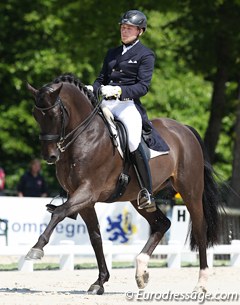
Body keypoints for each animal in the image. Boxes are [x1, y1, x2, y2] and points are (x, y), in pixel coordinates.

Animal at [26, 72, 221, 294]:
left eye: (56, 114)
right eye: (35, 114)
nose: (50, 156)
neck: (85, 136)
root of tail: (185, 130)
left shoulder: (88, 191)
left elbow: (58, 213)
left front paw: (36, 248)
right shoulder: (83, 199)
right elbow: (95, 237)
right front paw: (100, 282)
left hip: (190, 192)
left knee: (199, 229)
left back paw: (201, 283)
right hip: (138, 199)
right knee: (162, 224)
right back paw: (141, 272)